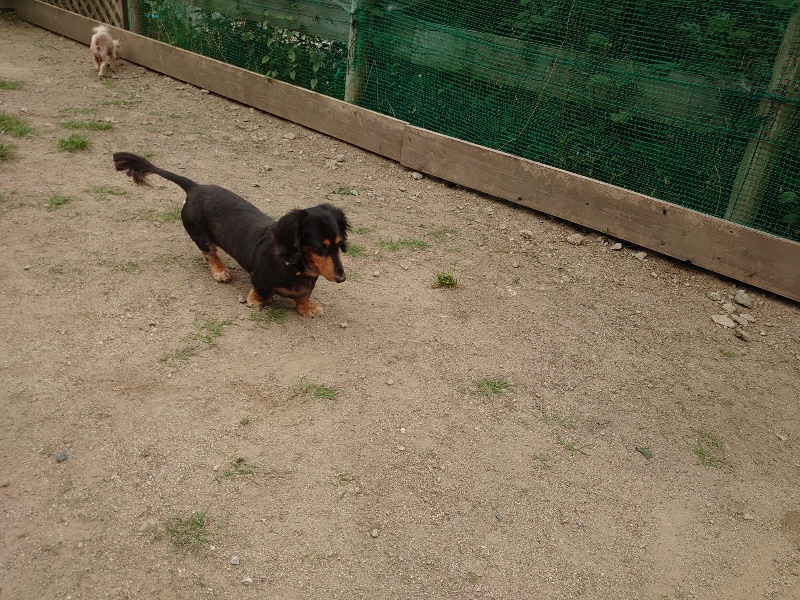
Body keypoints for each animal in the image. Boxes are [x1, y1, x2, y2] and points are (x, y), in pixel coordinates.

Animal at [113, 152, 349, 318]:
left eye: (339, 245)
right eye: (319, 247)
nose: (342, 279)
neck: (296, 268)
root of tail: (195, 187)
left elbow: (304, 296)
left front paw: (307, 307)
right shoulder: (259, 280)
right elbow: (260, 292)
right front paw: (256, 301)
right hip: (199, 234)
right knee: (209, 252)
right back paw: (220, 271)